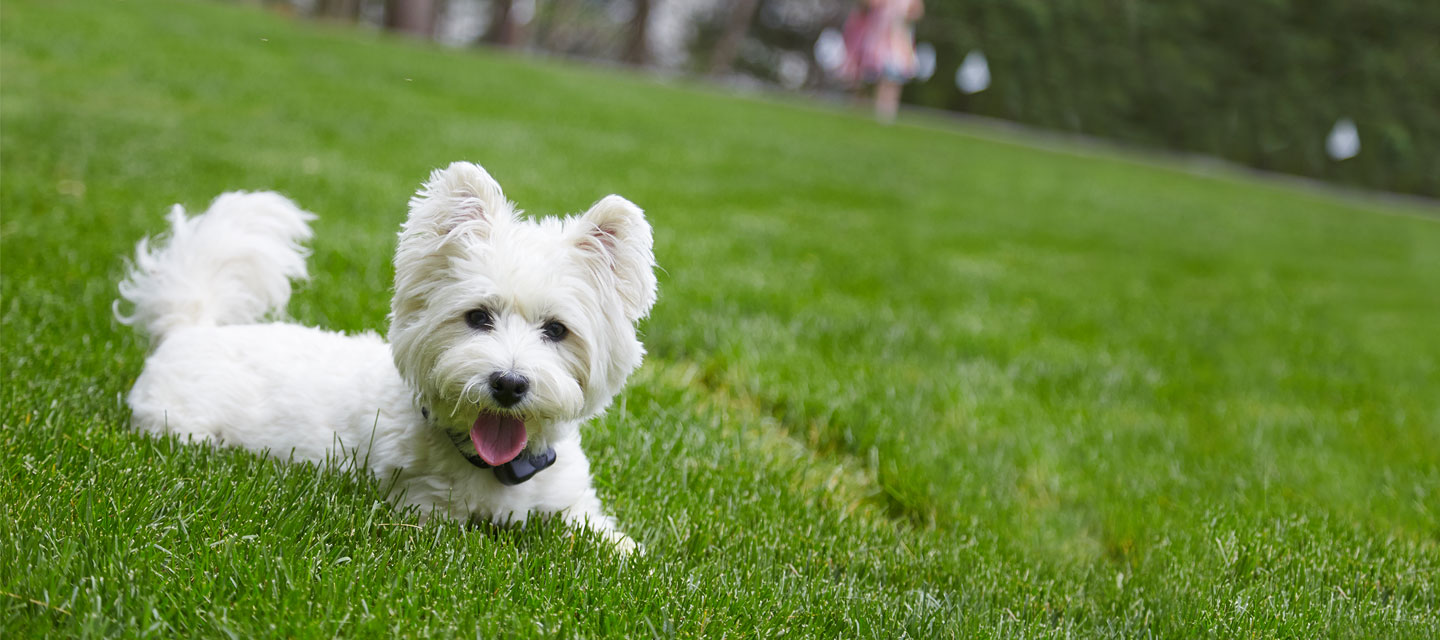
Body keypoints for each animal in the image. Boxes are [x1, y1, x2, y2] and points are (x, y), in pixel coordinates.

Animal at [118, 162, 659, 553]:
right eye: (478, 317)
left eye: (556, 330)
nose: (508, 383)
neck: (495, 469)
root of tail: (191, 328)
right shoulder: (423, 508)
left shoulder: (572, 503)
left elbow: (609, 539)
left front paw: (633, 558)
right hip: (177, 426)